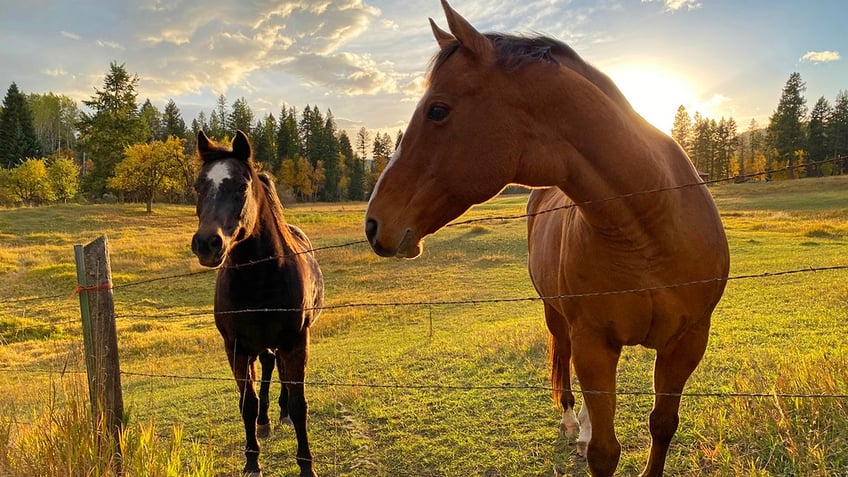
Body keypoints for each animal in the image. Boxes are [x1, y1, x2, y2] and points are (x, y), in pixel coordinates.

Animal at [192, 130, 324, 476]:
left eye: (241, 186)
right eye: (198, 186)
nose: (207, 244)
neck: (260, 278)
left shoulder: (296, 341)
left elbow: (299, 402)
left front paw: (306, 465)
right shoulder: (236, 347)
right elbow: (247, 403)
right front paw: (252, 461)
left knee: (280, 372)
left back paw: (281, 414)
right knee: (266, 368)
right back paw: (265, 421)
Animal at [364, 1, 728, 474]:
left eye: (437, 111)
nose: (373, 224)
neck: (648, 227)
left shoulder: (687, 343)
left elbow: (662, 424)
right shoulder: (594, 342)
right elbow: (604, 451)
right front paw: (588, 436)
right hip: (559, 318)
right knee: (567, 365)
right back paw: (576, 423)